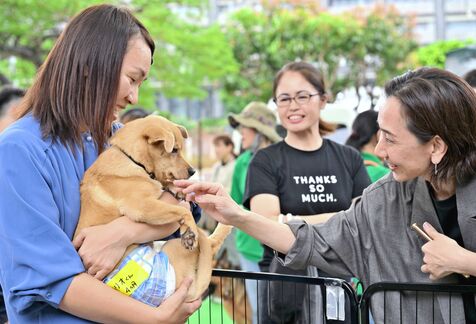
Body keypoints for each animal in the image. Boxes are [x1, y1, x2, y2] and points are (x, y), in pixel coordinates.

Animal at [74, 115, 232, 302]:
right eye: (174, 150)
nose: (193, 171)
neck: (133, 160)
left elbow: (166, 184)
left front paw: (178, 190)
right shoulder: (143, 207)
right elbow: (183, 210)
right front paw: (189, 230)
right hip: (172, 249)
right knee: (209, 243)